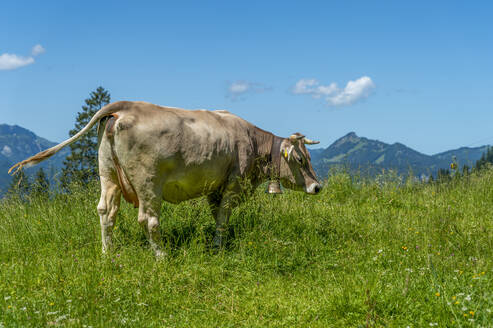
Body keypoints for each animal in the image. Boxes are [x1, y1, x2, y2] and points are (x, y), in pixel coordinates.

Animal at [9, 101, 322, 255]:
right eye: (300, 159)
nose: (317, 186)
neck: (252, 141)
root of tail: (126, 107)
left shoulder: (216, 187)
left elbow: (217, 217)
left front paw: (217, 243)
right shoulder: (233, 184)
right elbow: (223, 217)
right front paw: (219, 247)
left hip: (107, 174)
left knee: (105, 212)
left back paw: (108, 253)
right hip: (148, 183)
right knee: (148, 220)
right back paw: (160, 256)